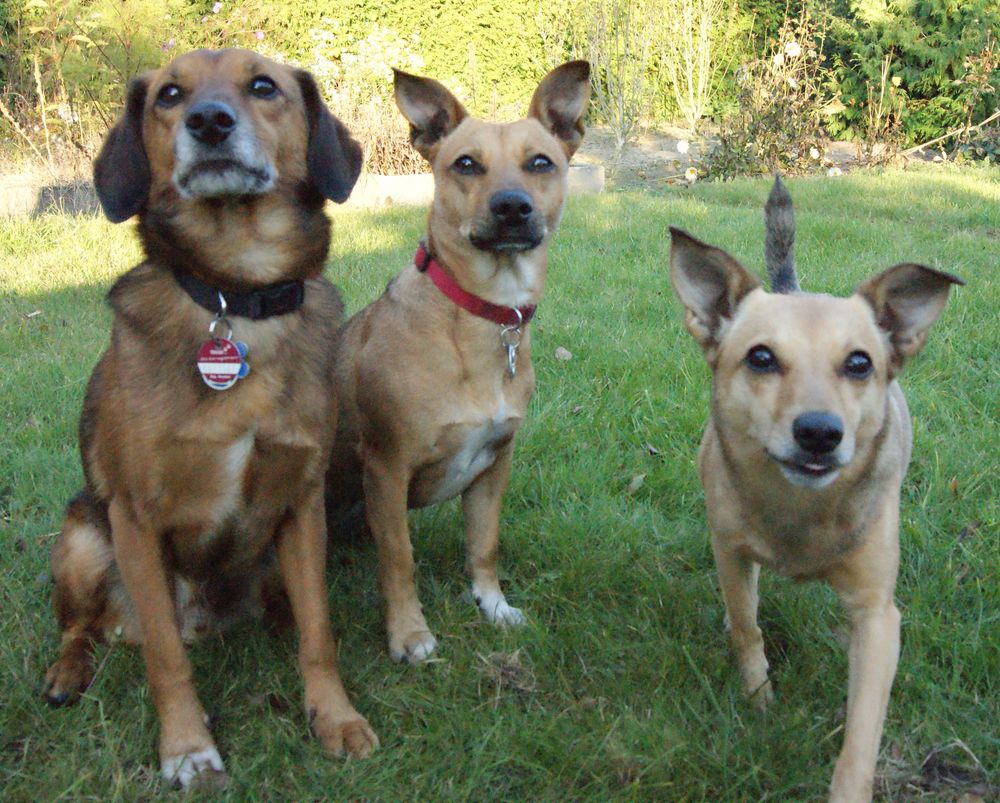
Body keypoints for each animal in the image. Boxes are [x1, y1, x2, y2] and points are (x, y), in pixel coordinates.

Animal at [40, 48, 378, 784]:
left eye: (263, 86)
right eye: (170, 95)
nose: (210, 122)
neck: (235, 293)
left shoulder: (301, 503)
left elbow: (320, 632)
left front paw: (334, 716)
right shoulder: (136, 521)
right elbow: (166, 658)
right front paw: (188, 747)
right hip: (82, 538)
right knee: (82, 627)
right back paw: (66, 673)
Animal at [328, 62, 588, 664]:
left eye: (540, 162)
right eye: (466, 163)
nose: (512, 206)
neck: (482, 316)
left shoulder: (495, 464)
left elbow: (484, 546)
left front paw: (492, 605)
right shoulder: (386, 469)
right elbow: (399, 560)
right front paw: (408, 634)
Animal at [672, 179, 960, 800]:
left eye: (859, 364)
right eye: (760, 357)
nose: (820, 433)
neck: (799, 510)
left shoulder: (877, 617)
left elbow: (861, 738)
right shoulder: (729, 550)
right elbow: (747, 627)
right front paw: (759, 699)